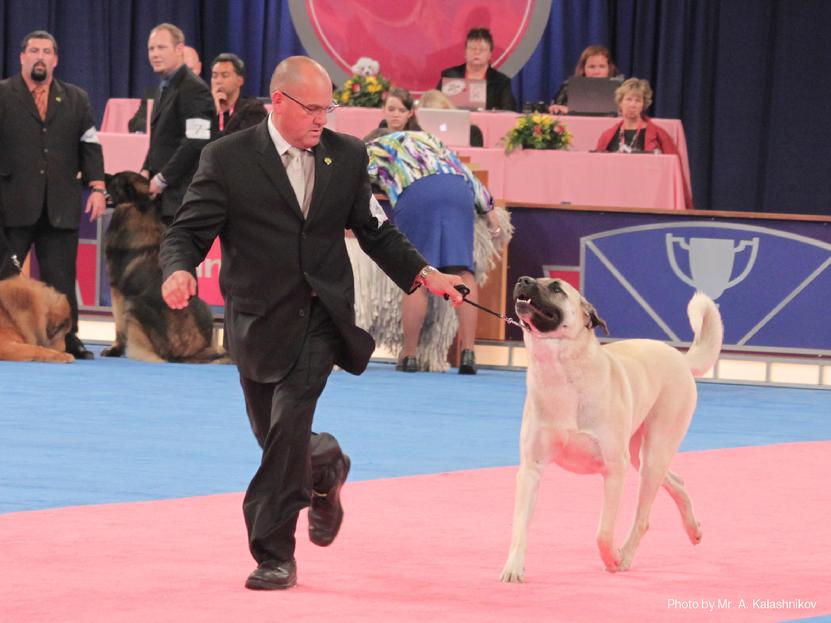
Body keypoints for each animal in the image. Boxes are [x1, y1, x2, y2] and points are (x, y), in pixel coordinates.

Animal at [104, 171, 229, 366]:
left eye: (115, 179)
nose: (104, 175)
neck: (140, 207)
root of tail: (188, 354)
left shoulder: (116, 290)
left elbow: (118, 326)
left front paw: (114, 350)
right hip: (204, 306)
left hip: (134, 305)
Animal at [500, 276, 720, 580]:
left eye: (556, 287)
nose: (522, 280)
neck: (560, 370)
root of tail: (680, 358)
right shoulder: (531, 468)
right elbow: (520, 525)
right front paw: (513, 568)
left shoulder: (615, 468)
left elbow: (603, 532)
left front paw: (612, 559)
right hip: (640, 454)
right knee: (677, 481)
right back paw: (693, 530)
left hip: (654, 452)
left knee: (643, 517)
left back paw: (625, 555)